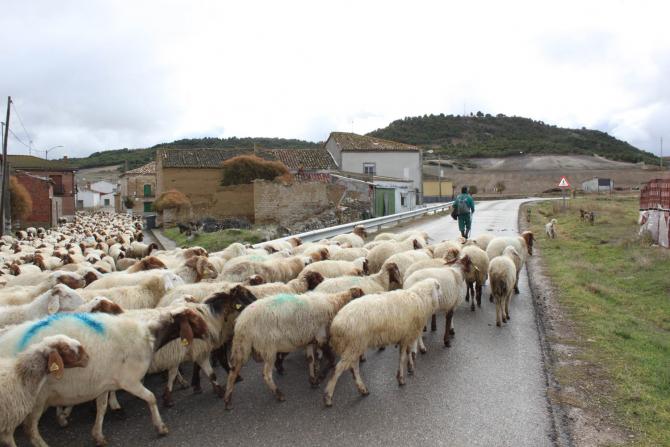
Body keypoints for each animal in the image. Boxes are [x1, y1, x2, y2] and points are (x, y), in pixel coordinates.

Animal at [0, 307, 208, 446]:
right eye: (194, 321)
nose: (208, 334)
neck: (149, 336)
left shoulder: (103, 384)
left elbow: (102, 408)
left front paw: (98, 435)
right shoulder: (129, 381)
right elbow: (151, 398)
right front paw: (160, 427)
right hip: (34, 400)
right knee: (30, 430)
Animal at [223, 288, 364, 409]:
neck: (335, 304)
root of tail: (241, 323)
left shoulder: (309, 339)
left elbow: (310, 360)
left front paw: (313, 380)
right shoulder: (321, 337)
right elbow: (330, 359)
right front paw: (321, 377)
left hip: (242, 347)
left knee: (233, 371)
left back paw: (228, 401)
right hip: (268, 348)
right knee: (266, 374)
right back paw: (279, 394)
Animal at [322, 278, 443, 407]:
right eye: (439, 287)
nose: (442, 296)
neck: (421, 298)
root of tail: (335, 325)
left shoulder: (406, 335)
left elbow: (408, 353)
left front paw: (410, 368)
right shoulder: (407, 335)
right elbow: (402, 357)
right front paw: (401, 378)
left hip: (354, 346)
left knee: (353, 368)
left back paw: (362, 389)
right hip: (355, 344)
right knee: (338, 369)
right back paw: (328, 397)